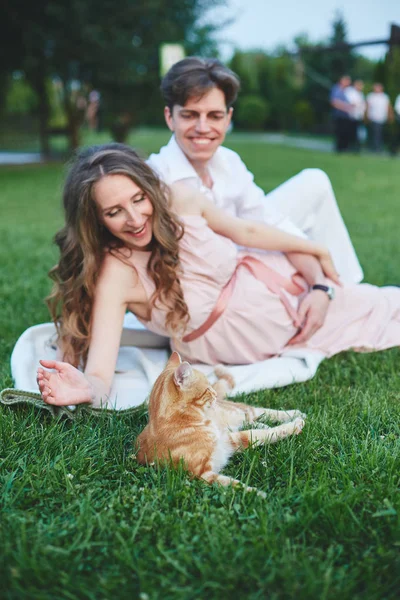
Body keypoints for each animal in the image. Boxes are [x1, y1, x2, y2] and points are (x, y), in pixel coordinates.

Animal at [136, 352, 304, 496]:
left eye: (210, 386)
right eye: (207, 389)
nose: (215, 395)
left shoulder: (227, 440)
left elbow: (264, 434)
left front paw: (294, 425)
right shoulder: (203, 474)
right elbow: (234, 485)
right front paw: (257, 494)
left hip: (239, 412)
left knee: (261, 412)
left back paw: (296, 413)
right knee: (253, 422)